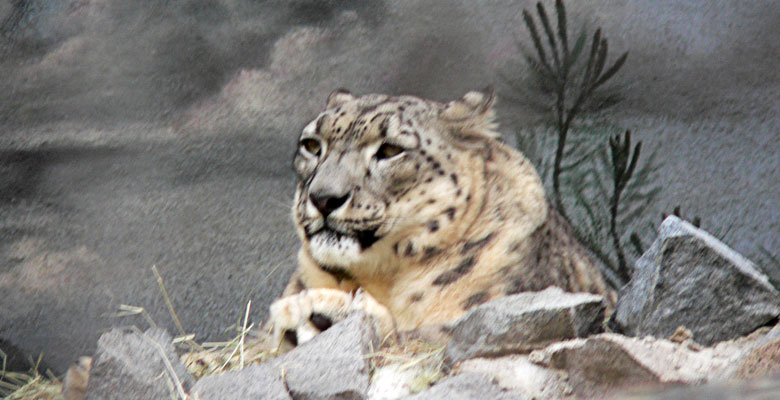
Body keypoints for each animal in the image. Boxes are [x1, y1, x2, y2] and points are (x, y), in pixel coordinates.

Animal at [269, 88, 616, 350]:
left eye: (391, 150)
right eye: (312, 145)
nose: (324, 198)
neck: (383, 277)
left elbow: (420, 337)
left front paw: (320, 312)